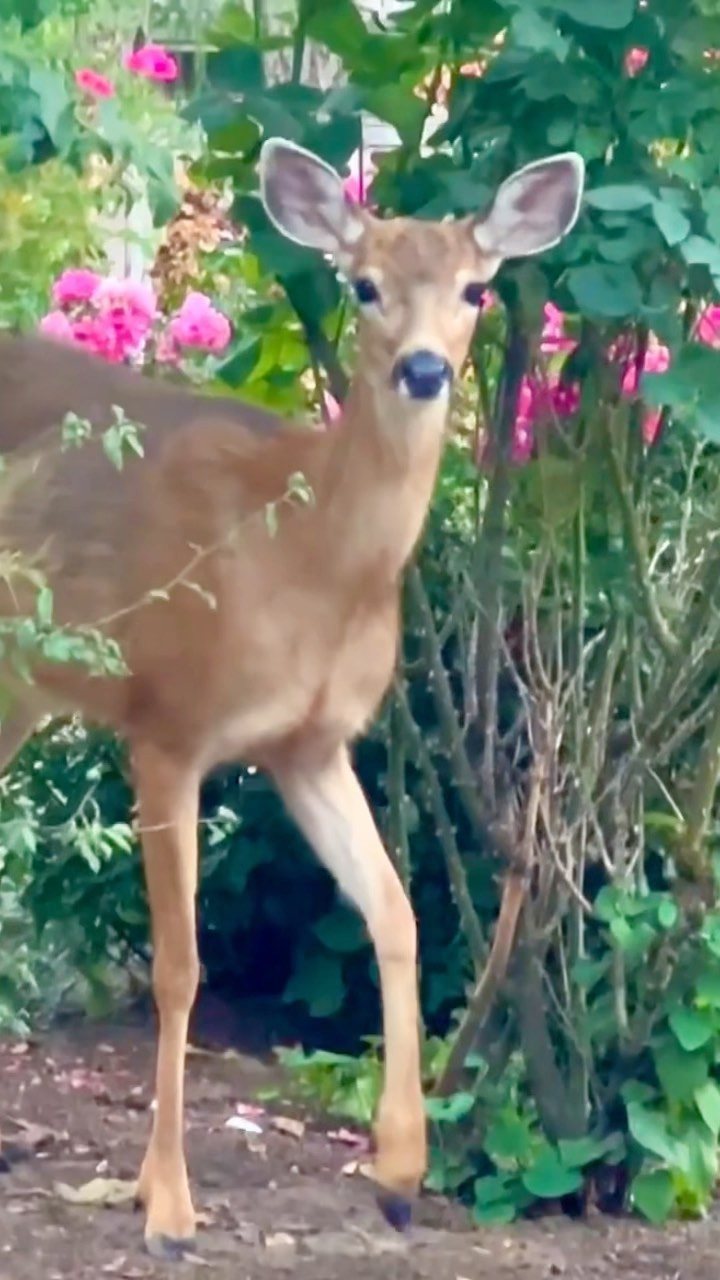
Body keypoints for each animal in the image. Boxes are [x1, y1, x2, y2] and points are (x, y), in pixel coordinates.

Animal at [0, 138, 584, 1258]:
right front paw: (168, 1205)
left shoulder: (311, 745)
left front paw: (399, 1174)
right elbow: (181, 966)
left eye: (476, 289)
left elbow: (395, 911)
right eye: (363, 286)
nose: (425, 370)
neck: (303, 557)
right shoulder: (167, 719)